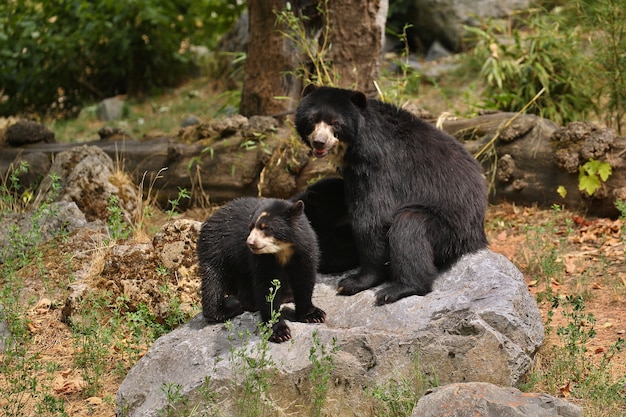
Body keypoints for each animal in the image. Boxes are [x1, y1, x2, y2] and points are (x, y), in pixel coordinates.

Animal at [197, 197, 324, 342]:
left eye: (266, 228)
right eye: (250, 227)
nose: (250, 243)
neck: (283, 250)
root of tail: (208, 219)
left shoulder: (304, 250)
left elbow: (304, 278)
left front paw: (314, 315)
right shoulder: (262, 259)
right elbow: (267, 287)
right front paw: (279, 331)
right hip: (215, 247)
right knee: (213, 279)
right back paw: (226, 310)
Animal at [294, 85, 488, 306]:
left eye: (335, 123)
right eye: (312, 120)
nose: (319, 142)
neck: (356, 144)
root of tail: (477, 235)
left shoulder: (377, 165)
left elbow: (373, 218)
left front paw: (353, 281)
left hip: (449, 228)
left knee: (409, 227)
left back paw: (398, 289)